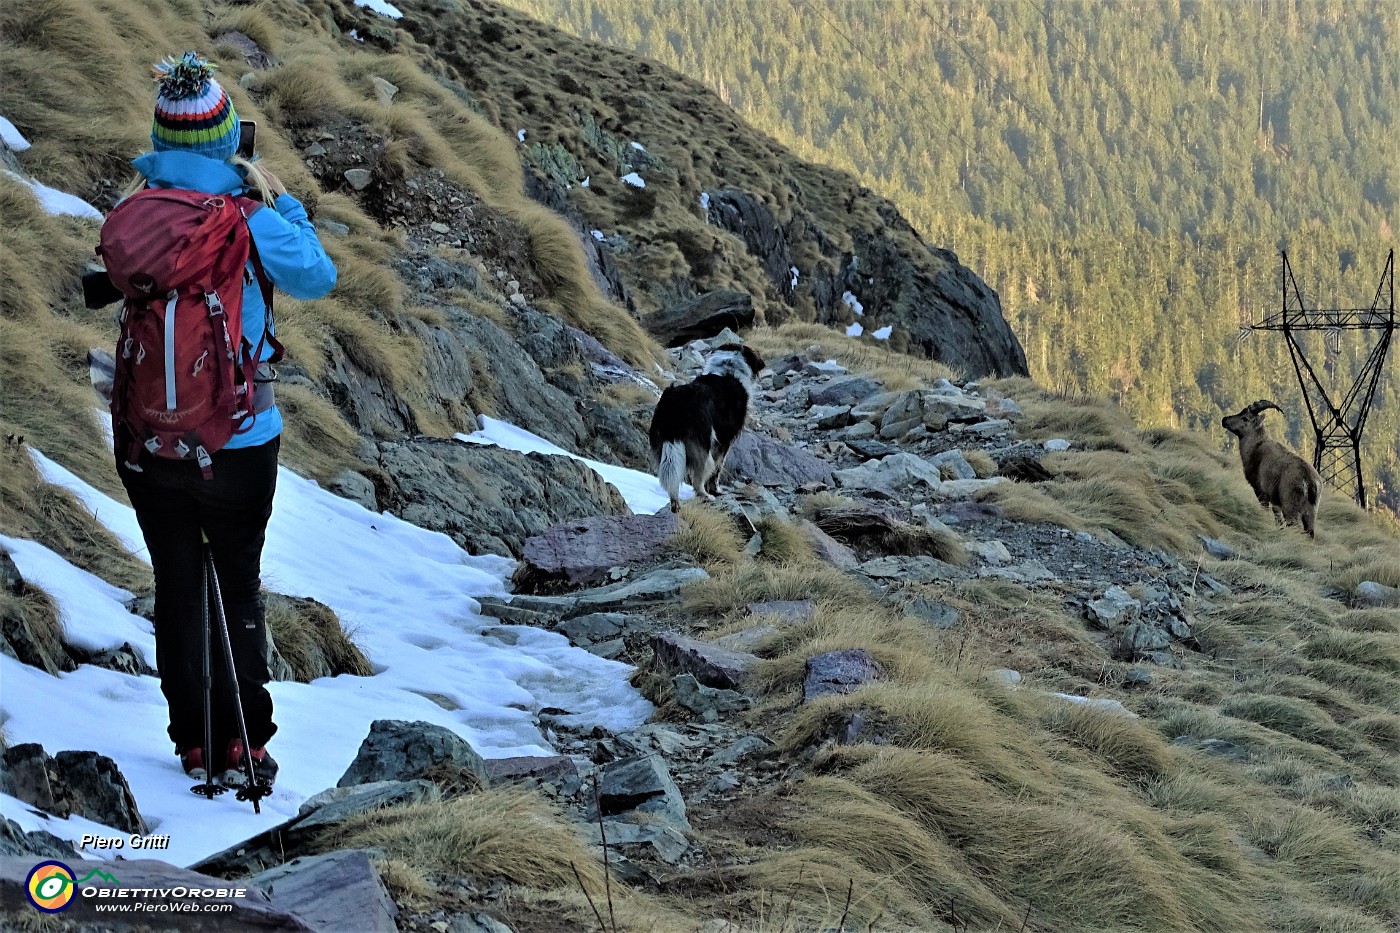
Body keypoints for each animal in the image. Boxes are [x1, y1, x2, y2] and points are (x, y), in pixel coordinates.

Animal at [646, 341, 767, 512]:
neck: (728, 369)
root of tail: (676, 403)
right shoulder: (724, 440)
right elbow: (717, 469)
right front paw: (716, 490)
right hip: (703, 442)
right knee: (698, 476)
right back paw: (705, 495)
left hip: (661, 443)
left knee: (670, 476)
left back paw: (675, 504)